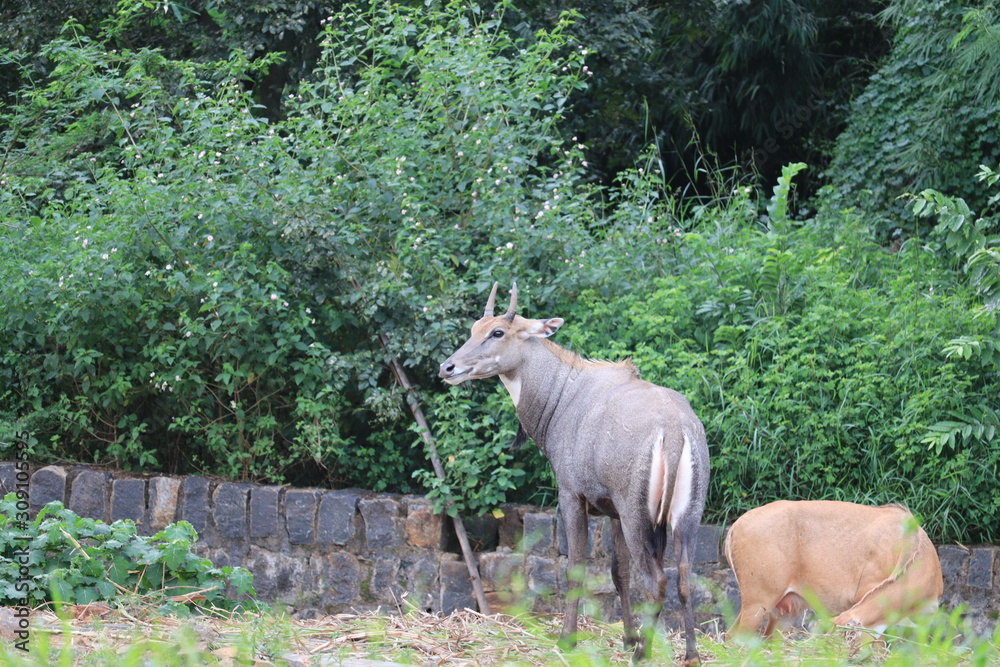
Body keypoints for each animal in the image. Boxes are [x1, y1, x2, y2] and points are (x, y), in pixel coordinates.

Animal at [439, 282, 710, 664]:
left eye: (498, 332)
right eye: (474, 329)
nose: (447, 367)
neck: (561, 395)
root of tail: (674, 431)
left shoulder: (571, 495)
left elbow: (575, 568)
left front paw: (568, 639)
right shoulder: (611, 510)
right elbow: (618, 572)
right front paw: (627, 637)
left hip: (637, 512)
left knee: (655, 580)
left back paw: (643, 653)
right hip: (687, 515)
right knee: (685, 578)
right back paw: (689, 655)